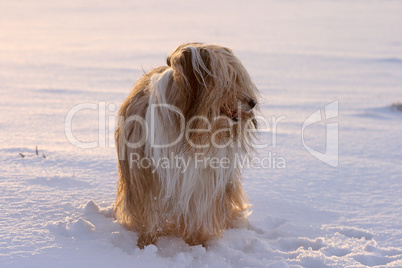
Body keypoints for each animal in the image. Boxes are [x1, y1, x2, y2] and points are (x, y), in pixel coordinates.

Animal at [114, 42, 258, 249]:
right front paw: (146, 244)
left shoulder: (203, 183)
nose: (253, 102)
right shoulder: (148, 177)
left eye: (240, 80)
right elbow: (148, 214)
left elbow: (199, 215)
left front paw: (198, 244)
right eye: (228, 82)